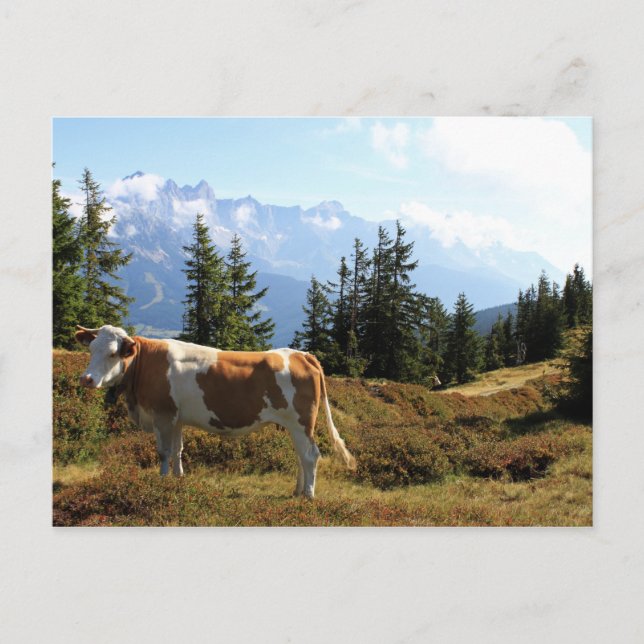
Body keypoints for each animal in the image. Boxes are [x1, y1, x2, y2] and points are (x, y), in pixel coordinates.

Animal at [75, 325, 356, 498]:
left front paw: (160, 483)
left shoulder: (162, 414)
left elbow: (163, 452)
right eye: (91, 350)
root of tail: (301, 354)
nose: (86, 379)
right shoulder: (176, 418)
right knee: (300, 456)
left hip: (301, 422)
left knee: (310, 455)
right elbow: (177, 450)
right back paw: (297, 491)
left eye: (113, 354)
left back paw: (308, 495)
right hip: (294, 425)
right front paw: (178, 480)